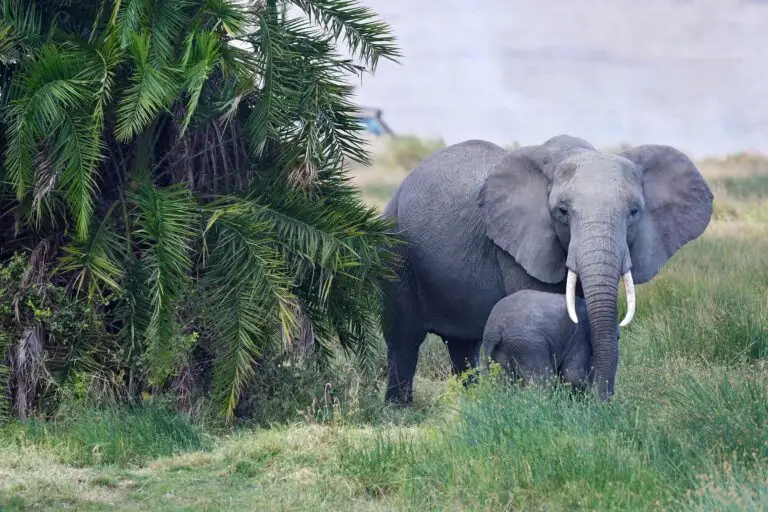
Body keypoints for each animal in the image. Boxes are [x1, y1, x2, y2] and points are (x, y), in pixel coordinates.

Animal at [484, 290, 620, 390]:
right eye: (618, 338)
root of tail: (495, 328)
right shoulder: (580, 336)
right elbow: (574, 374)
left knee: (504, 380)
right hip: (529, 346)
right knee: (542, 381)